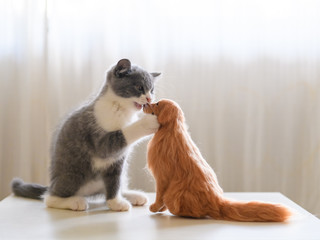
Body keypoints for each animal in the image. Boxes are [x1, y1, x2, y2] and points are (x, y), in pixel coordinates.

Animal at [11, 59, 161, 212]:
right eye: (139, 87)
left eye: (152, 90)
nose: (149, 98)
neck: (120, 109)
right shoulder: (99, 140)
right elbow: (114, 140)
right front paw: (149, 122)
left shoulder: (117, 160)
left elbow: (114, 179)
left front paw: (115, 202)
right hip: (74, 173)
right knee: (49, 197)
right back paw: (74, 201)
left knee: (112, 184)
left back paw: (132, 195)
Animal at [144, 99, 292, 221]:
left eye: (157, 103)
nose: (145, 104)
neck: (170, 129)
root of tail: (217, 202)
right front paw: (160, 209)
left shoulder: (162, 175)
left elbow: (159, 195)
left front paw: (155, 207)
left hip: (174, 195)